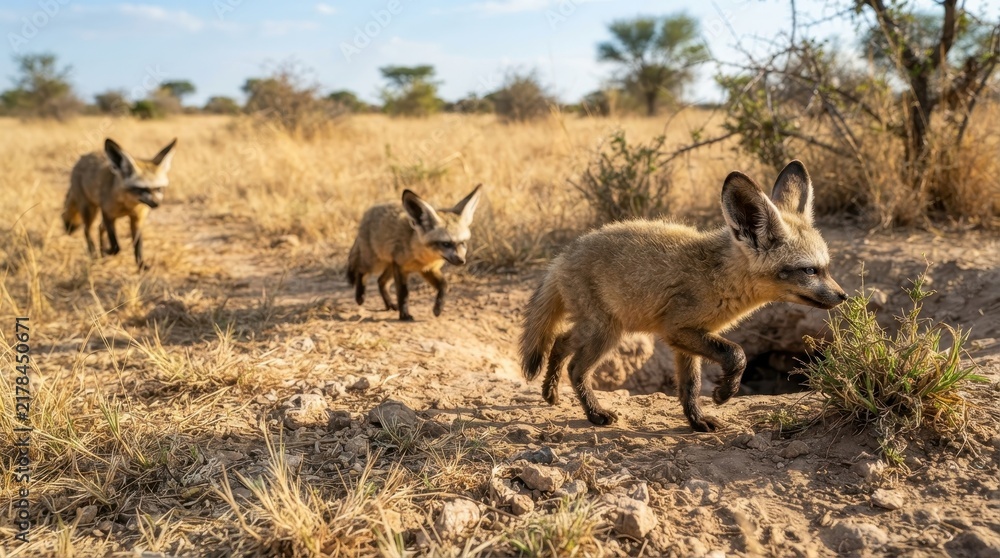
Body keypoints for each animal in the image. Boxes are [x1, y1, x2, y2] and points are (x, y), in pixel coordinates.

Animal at [62, 138, 177, 270]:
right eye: (142, 189)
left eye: (158, 189)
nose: (156, 204)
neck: (128, 205)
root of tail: (83, 157)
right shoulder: (108, 214)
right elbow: (116, 246)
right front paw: (109, 251)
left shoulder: (137, 219)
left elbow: (138, 246)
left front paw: (141, 265)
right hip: (89, 210)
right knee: (87, 231)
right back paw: (94, 254)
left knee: (99, 227)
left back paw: (101, 252)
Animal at [346, 185, 483, 321]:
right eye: (446, 244)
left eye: (463, 243)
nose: (461, 261)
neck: (420, 256)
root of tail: (371, 209)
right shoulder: (401, 268)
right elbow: (403, 293)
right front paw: (404, 315)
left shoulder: (427, 270)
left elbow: (444, 285)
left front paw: (438, 308)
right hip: (375, 263)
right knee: (361, 271)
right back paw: (360, 296)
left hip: (390, 266)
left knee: (381, 281)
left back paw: (390, 304)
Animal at [519, 161, 847, 432]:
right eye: (809, 270)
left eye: (827, 268)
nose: (843, 296)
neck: (717, 277)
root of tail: (562, 256)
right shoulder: (677, 331)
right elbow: (737, 354)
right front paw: (724, 393)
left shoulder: (689, 340)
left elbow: (690, 386)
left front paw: (697, 420)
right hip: (605, 332)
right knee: (575, 367)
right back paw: (594, 413)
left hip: (598, 328)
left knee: (559, 342)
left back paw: (551, 392)